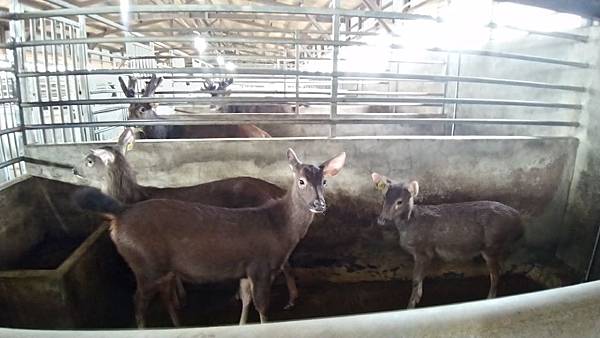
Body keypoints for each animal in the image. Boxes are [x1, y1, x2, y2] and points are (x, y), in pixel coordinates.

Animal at [73, 129, 302, 312]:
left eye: (89, 160)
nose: (74, 170)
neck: (132, 198)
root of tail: (273, 189)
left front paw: (178, 301)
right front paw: (180, 298)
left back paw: (290, 299)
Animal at [75, 148, 346, 328]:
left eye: (324, 181)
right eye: (301, 181)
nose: (319, 204)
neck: (279, 227)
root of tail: (120, 214)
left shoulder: (246, 267)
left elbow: (246, 299)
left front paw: (240, 326)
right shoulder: (260, 265)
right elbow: (262, 306)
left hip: (154, 266)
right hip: (144, 262)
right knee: (139, 303)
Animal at [372, 174, 524, 308]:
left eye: (399, 201)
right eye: (384, 198)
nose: (381, 220)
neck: (409, 224)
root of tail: (519, 221)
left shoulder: (424, 250)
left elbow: (415, 280)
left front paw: (410, 306)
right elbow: (419, 280)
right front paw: (418, 297)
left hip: (492, 244)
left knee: (495, 274)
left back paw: (489, 298)